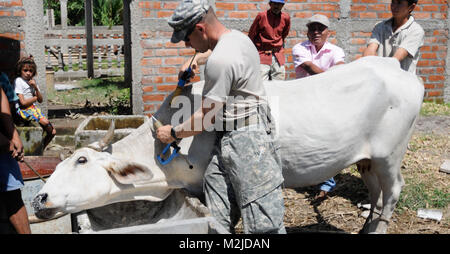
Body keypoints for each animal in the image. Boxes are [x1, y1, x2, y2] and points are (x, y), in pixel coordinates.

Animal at [34, 57, 422, 234]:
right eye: (58, 164)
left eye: (81, 161)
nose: (40, 199)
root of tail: (395, 67)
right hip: (367, 159)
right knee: (375, 194)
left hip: (391, 155)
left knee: (392, 193)